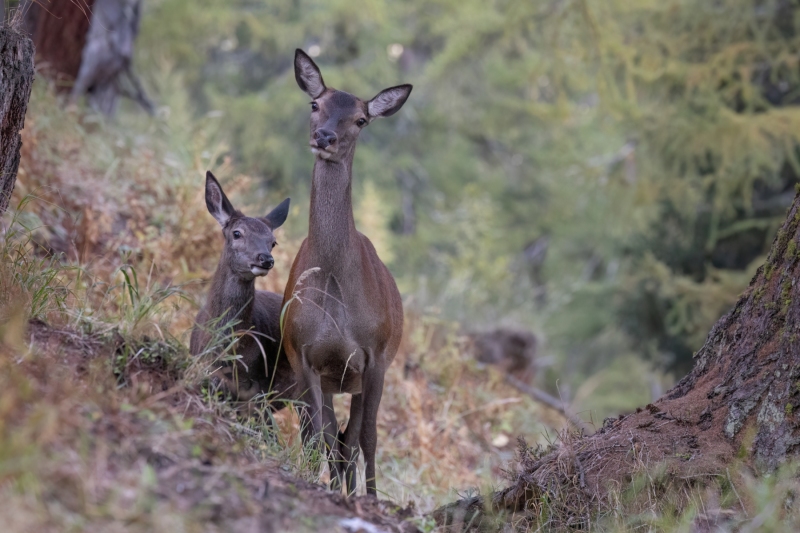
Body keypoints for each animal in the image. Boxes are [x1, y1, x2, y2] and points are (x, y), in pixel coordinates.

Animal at [281, 49, 412, 497]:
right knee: (333, 436)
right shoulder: (305, 355)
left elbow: (367, 437)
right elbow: (319, 434)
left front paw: (370, 498)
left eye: (360, 120)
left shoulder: (374, 356)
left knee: (353, 438)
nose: (324, 137)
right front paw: (318, 483)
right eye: (314, 104)